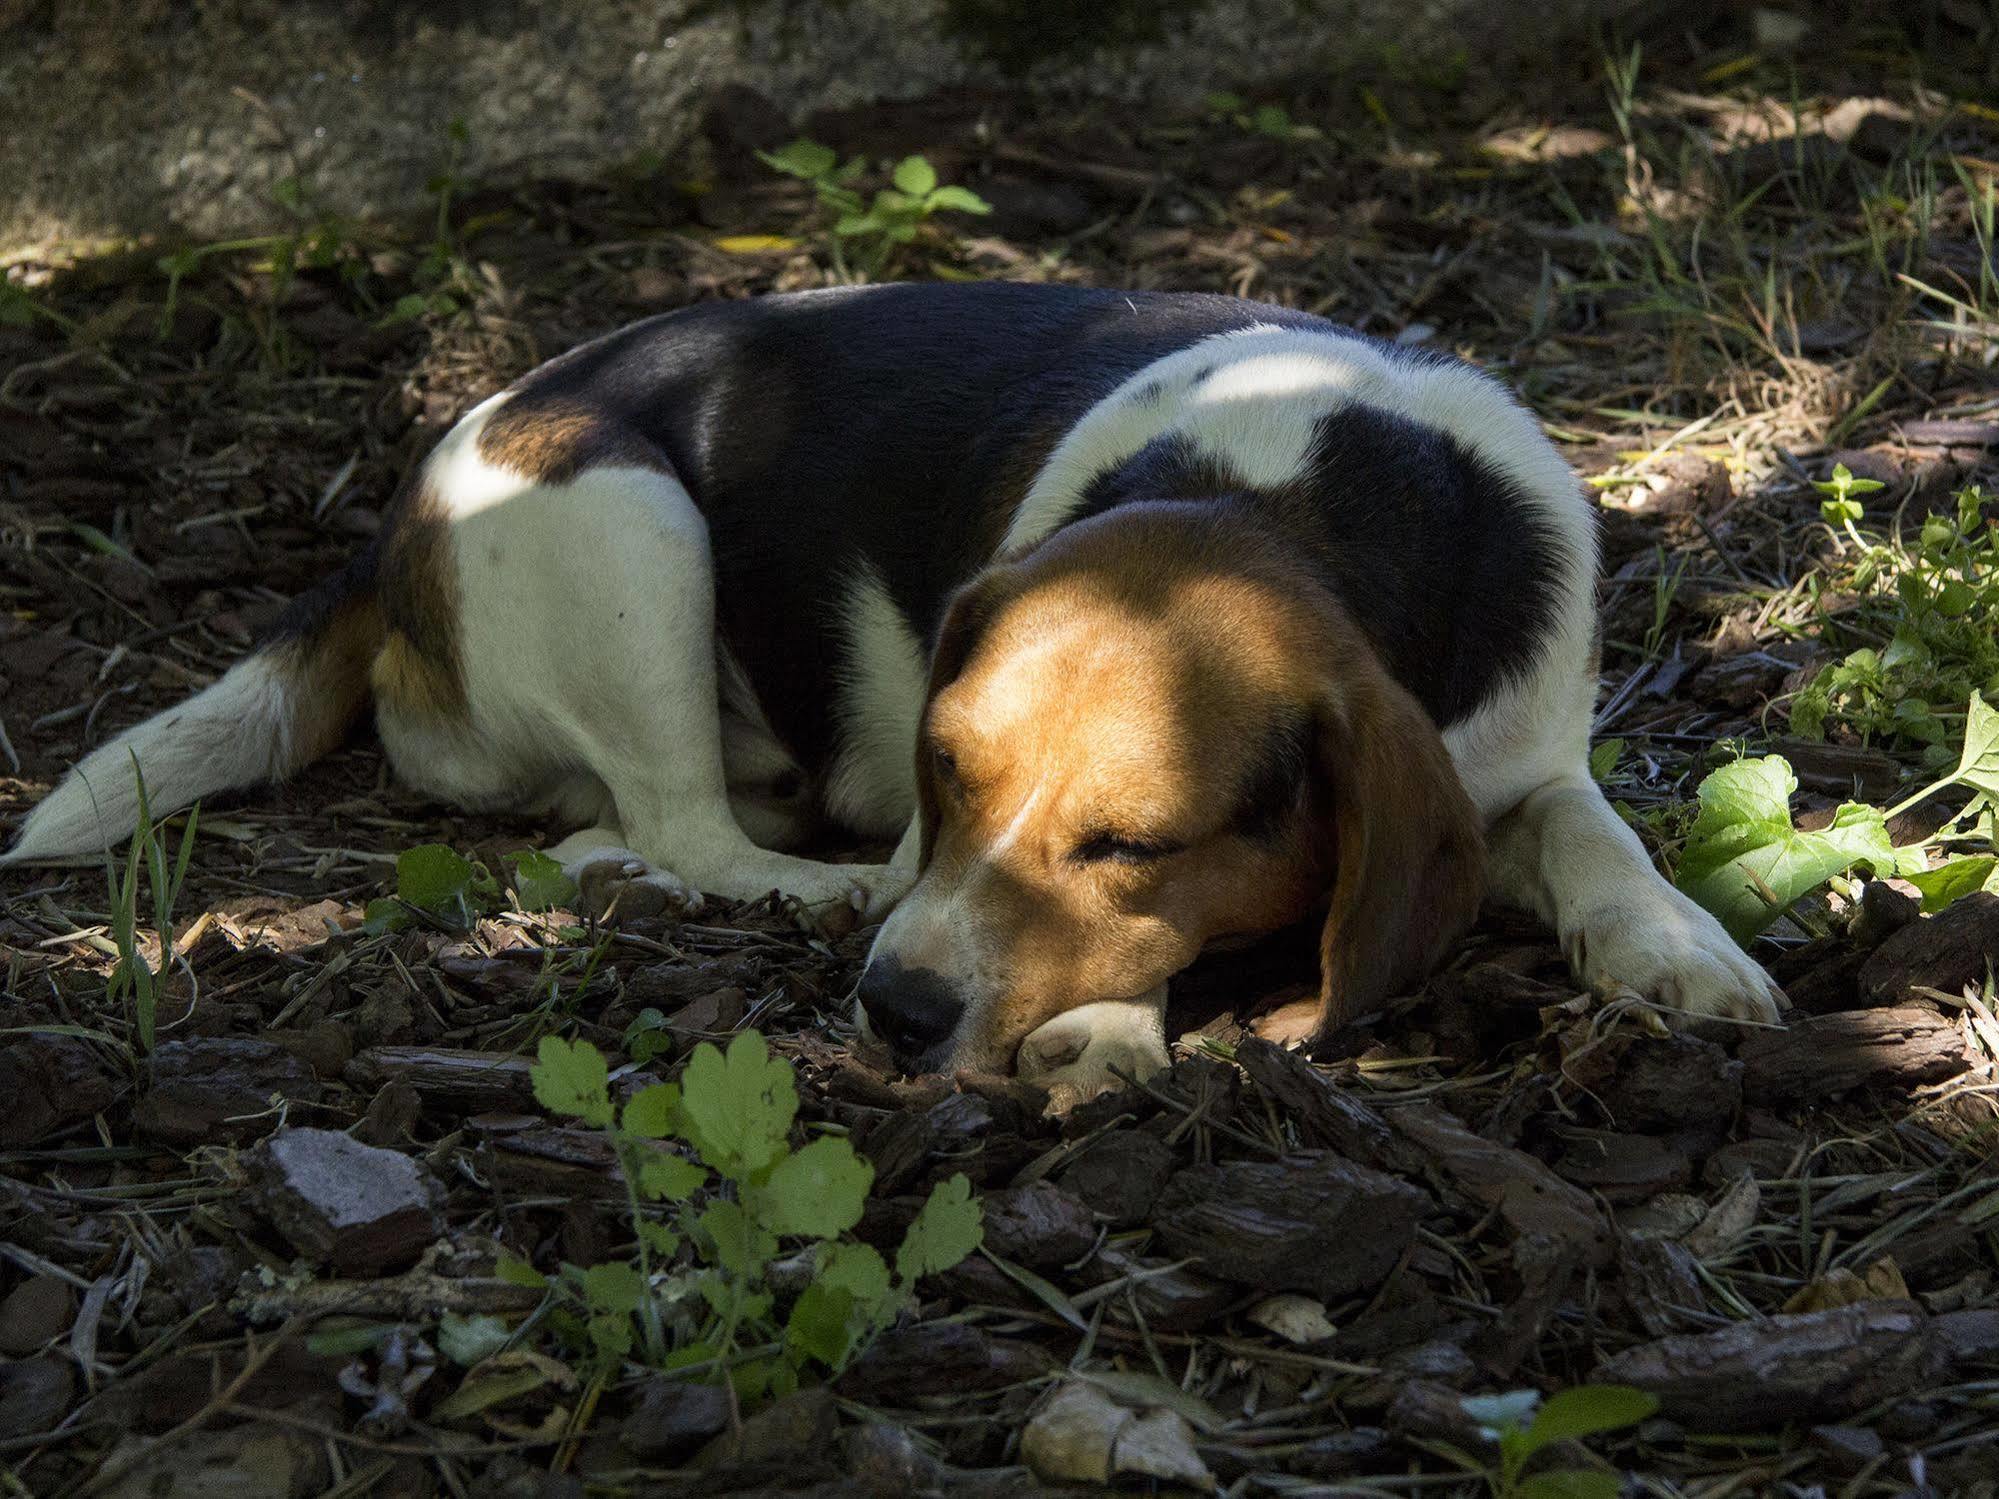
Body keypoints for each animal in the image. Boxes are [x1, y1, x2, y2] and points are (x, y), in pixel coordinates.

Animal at [3, 281, 1783, 1103]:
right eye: (945, 771)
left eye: (1136, 841)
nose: (894, 1010)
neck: (1291, 485)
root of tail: (391, 527)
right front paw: (1106, 1022)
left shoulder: (1527, 748)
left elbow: (1596, 836)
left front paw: (1675, 946)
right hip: (628, 517)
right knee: (668, 835)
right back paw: (791, 885)